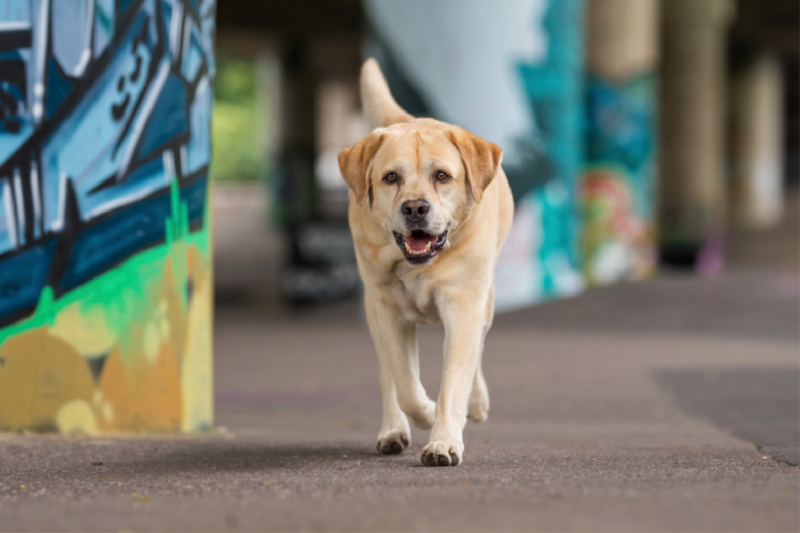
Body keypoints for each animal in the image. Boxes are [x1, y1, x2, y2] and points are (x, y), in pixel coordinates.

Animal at [336, 59, 512, 466]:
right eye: (391, 178)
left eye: (442, 176)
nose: (415, 208)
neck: (418, 265)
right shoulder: (389, 314)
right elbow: (406, 386)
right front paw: (428, 414)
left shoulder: (464, 307)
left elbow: (455, 379)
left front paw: (444, 440)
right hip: (373, 310)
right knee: (388, 377)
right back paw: (392, 430)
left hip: (485, 302)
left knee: (477, 351)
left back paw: (475, 403)